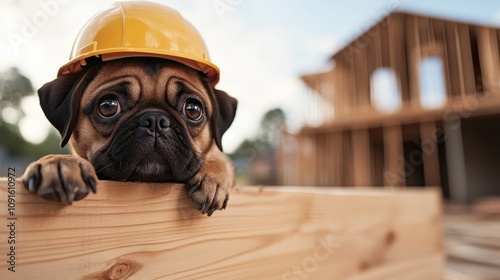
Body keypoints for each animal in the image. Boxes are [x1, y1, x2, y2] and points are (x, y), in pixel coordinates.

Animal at [24, 57, 239, 217]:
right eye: (108, 106)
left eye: (193, 109)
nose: (155, 120)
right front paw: (60, 163)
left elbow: (220, 159)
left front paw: (212, 176)